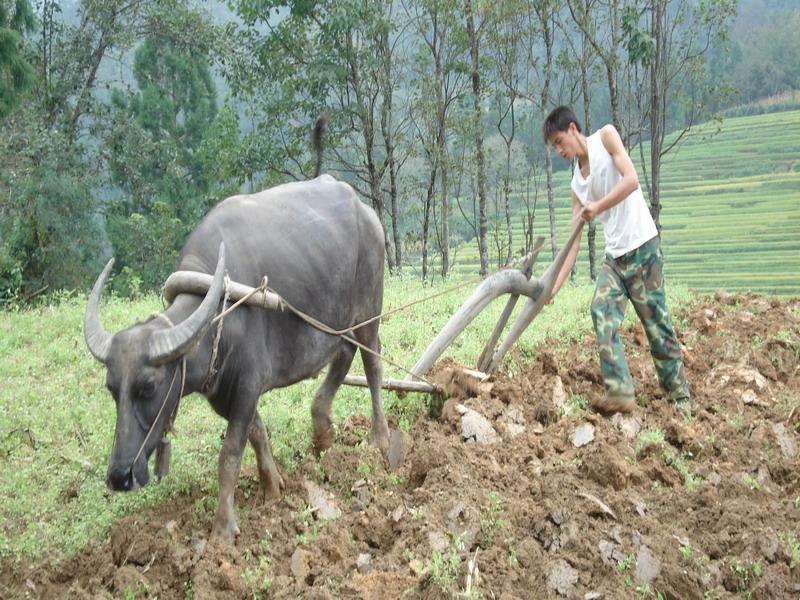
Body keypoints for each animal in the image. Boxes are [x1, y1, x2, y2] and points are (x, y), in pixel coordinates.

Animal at [84, 171, 390, 540]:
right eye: (111, 389)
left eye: (148, 386)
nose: (119, 476)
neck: (220, 313)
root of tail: (366, 212)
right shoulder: (224, 390)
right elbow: (257, 432)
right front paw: (273, 487)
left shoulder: (247, 384)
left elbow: (230, 452)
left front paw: (223, 528)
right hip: (338, 321)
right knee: (343, 353)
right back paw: (322, 432)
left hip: (369, 310)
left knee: (372, 365)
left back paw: (381, 438)